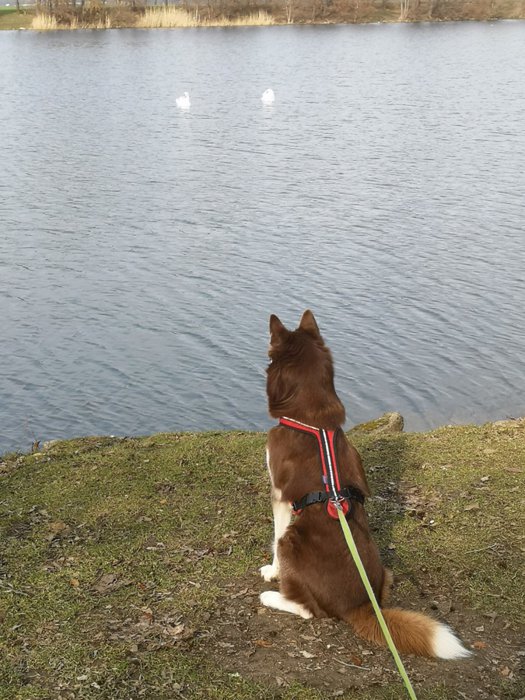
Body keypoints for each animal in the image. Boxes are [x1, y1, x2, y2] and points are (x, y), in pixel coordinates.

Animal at [259, 310, 470, 659]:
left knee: (308, 610)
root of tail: (360, 606)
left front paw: (272, 572)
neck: (312, 419)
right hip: (386, 574)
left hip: (293, 542)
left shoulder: (280, 497)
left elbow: (274, 538)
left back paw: (273, 597)